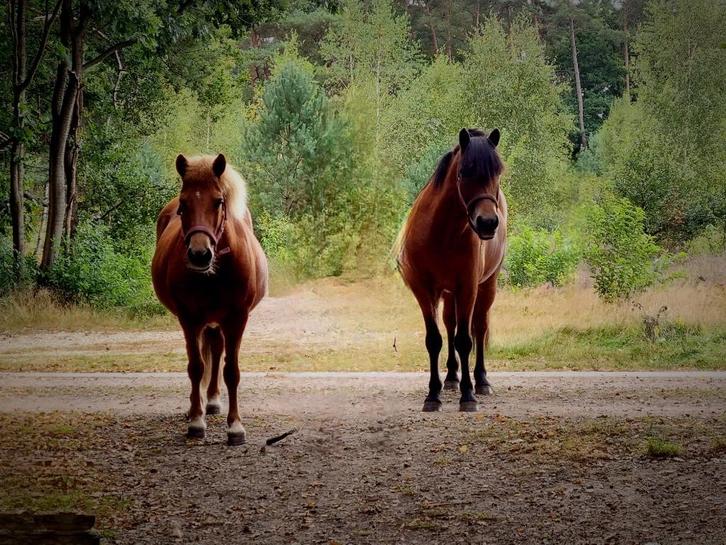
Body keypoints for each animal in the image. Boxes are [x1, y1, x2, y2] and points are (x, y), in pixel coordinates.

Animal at [152, 154, 268, 445]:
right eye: (183, 205)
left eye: (218, 201)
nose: (199, 254)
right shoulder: (189, 318)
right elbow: (196, 367)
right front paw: (196, 420)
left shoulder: (237, 318)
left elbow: (231, 371)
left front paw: (235, 426)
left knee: (217, 351)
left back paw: (213, 400)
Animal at [397, 128, 507, 412]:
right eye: (464, 172)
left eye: (498, 172)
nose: (488, 223)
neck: (441, 233)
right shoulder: (424, 290)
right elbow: (435, 339)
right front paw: (433, 395)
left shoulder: (467, 288)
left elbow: (464, 341)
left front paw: (468, 396)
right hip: (448, 293)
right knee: (450, 324)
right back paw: (450, 378)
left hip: (486, 287)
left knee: (479, 326)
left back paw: (481, 381)